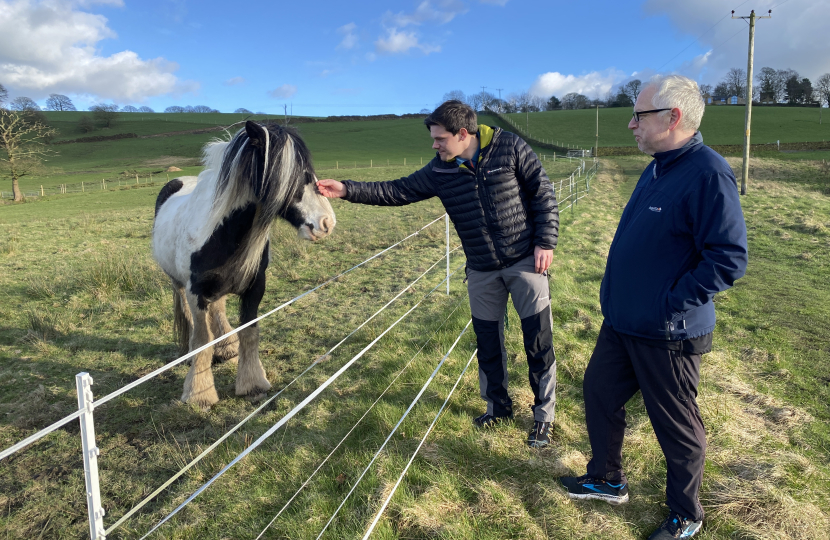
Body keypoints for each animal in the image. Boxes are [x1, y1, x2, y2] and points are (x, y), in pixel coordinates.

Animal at [153, 121, 334, 410]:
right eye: (288, 175)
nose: (326, 223)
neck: (221, 231)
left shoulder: (254, 287)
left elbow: (249, 332)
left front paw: (252, 384)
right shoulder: (196, 292)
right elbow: (202, 340)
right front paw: (199, 394)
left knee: (219, 309)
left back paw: (227, 347)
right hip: (178, 283)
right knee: (189, 315)